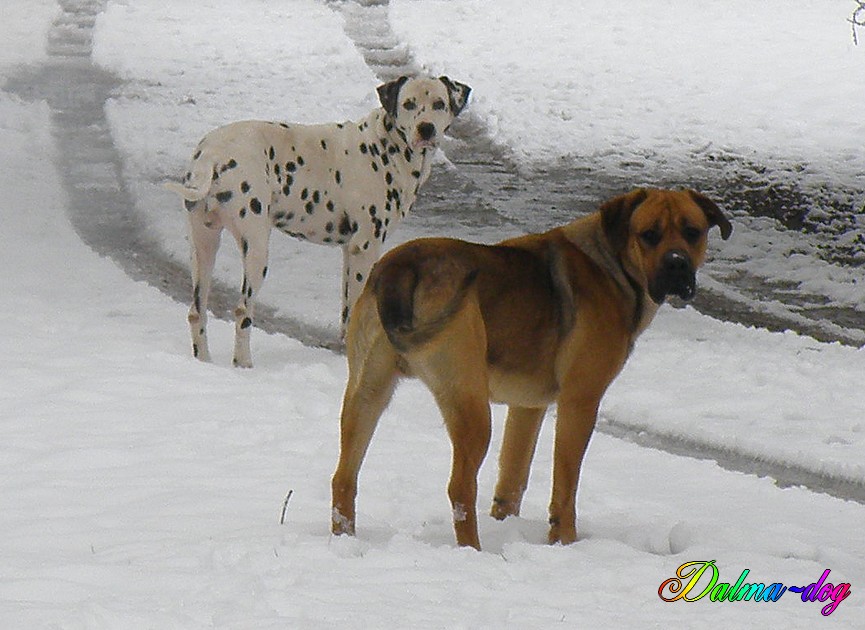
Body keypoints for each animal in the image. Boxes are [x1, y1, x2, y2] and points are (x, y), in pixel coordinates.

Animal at [165, 76, 470, 368]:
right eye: (408, 104)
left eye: (439, 103)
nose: (426, 129)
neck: (385, 147)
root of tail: (212, 154)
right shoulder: (365, 248)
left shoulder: (350, 251)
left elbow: (347, 310)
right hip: (256, 248)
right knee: (242, 311)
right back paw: (244, 363)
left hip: (203, 248)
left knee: (196, 312)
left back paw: (204, 362)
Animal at [330, 190, 728, 552]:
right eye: (649, 234)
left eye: (692, 231)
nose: (677, 264)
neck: (613, 265)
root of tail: (402, 267)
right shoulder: (580, 402)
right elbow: (565, 484)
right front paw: (564, 542)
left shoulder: (527, 407)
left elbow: (512, 480)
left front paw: (507, 526)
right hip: (471, 405)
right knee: (460, 487)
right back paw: (474, 551)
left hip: (366, 394)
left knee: (343, 478)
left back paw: (343, 540)